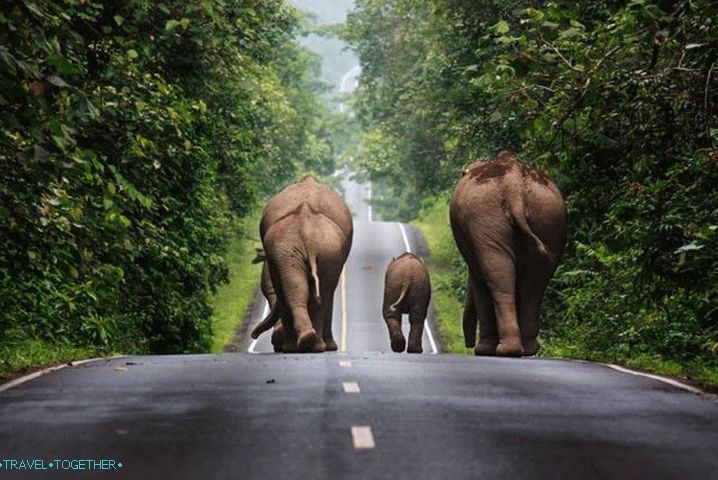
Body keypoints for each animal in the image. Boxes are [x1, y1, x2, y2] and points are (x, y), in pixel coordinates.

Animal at [253, 176, 354, 352]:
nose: (253, 335)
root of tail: (307, 233)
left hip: (315, 250)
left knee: (312, 291)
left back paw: (304, 345)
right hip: (309, 250)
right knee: (317, 292)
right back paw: (308, 343)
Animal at [456, 150, 568, 356]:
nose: (467, 345)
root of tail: (514, 185)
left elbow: (477, 278)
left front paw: (482, 350)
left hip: (487, 215)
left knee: (499, 279)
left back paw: (504, 350)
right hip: (546, 216)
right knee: (534, 285)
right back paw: (526, 350)